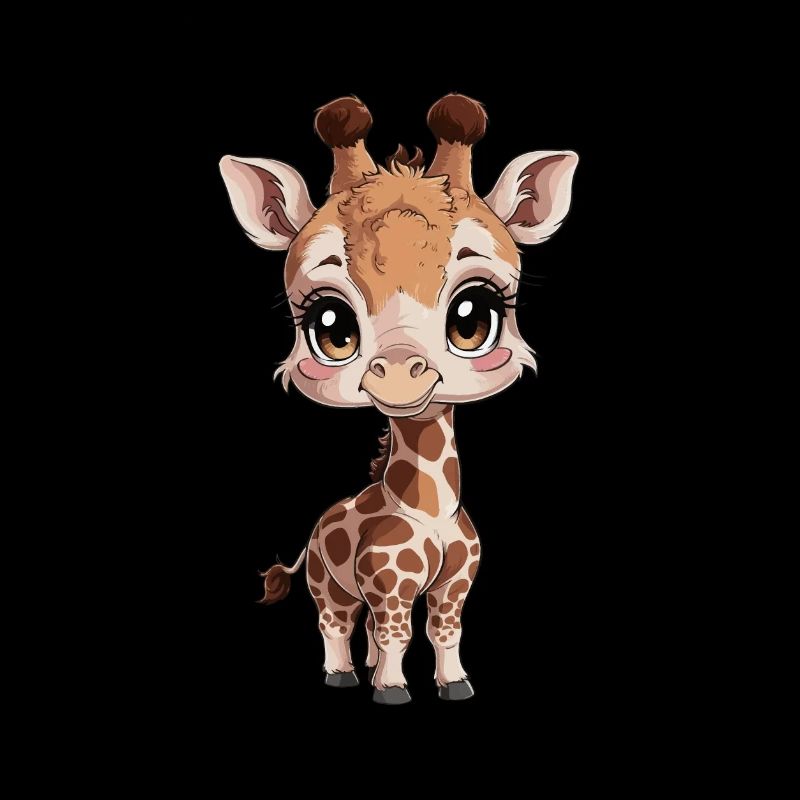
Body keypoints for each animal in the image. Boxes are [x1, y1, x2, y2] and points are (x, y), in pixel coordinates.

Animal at [220, 94, 578, 704]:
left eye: (472, 318)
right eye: (330, 326)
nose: (398, 377)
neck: (430, 510)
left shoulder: (455, 580)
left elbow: (443, 631)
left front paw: (455, 685)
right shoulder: (390, 579)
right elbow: (398, 632)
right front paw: (392, 691)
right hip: (326, 579)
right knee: (336, 621)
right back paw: (342, 676)